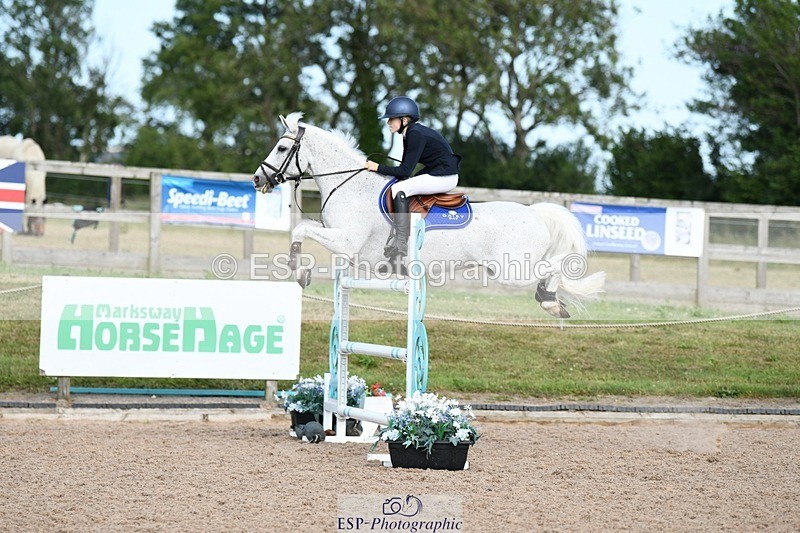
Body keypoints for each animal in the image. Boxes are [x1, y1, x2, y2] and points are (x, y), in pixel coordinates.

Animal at [252, 113, 604, 318]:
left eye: (281, 149)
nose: (257, 179)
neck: (348, 183)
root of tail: (535, 213)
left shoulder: (346, 242)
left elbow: (300, 231)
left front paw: (299, 272)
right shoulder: (342, 243)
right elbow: (304, 229)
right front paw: (302, 271)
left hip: (512, 269)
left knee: (553, 266)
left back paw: (549, 299)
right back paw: (552, 301)